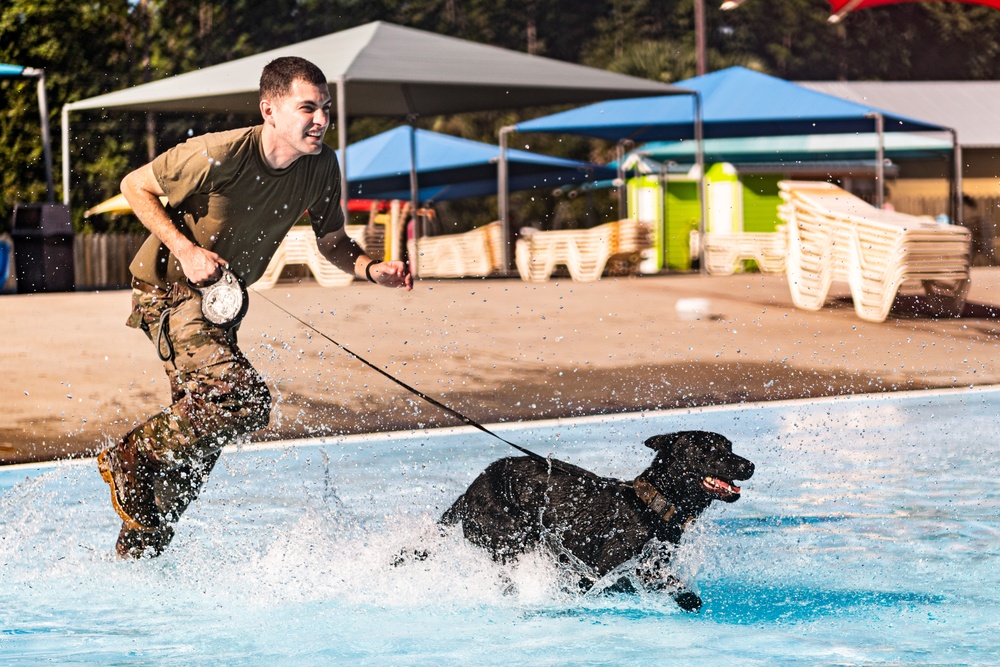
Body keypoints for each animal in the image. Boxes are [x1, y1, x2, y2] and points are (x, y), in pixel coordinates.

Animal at [438, 430, 752, 612]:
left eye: (729, 446)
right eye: (707, 451)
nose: (749, 465)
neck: (651, 505)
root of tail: (466, 496)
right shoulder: (605, 568)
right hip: (511, 537)